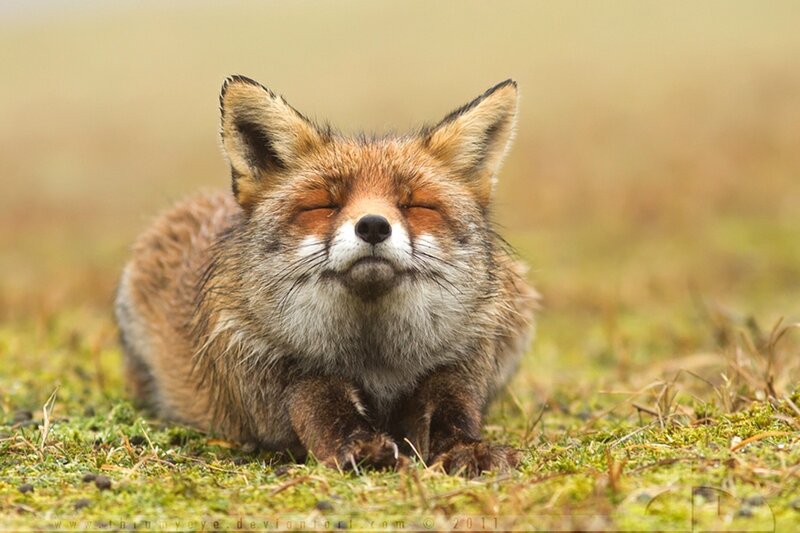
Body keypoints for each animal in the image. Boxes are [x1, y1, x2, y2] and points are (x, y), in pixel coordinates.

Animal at [115, 75, 537, 476]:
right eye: (325, 205)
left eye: (416, 205)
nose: (373, 226)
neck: (375, 359)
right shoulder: (278, 371)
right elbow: (324, 408)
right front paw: (361, 448)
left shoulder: (458, 364)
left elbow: (452, 415)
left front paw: (467, 450)